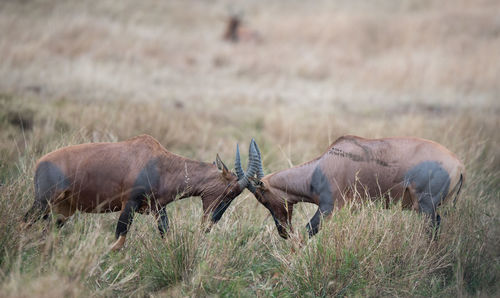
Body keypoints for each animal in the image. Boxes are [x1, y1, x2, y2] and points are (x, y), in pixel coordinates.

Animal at [22, 134, 262, 249]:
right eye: (231, 191)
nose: (208, 226)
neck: (160, 163)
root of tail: (39, 163)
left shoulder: (157, 208)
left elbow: (166, 235)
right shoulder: (129, 204)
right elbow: (119, 239)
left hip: (63, 210)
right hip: (43, 202)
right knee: (24, 221)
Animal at [242, 136, 464, 239]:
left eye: (262, 198)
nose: (283, 232)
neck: (321, 166)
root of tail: (458, 164)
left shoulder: (328, 208)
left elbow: (309, 230)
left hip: (426, 207)